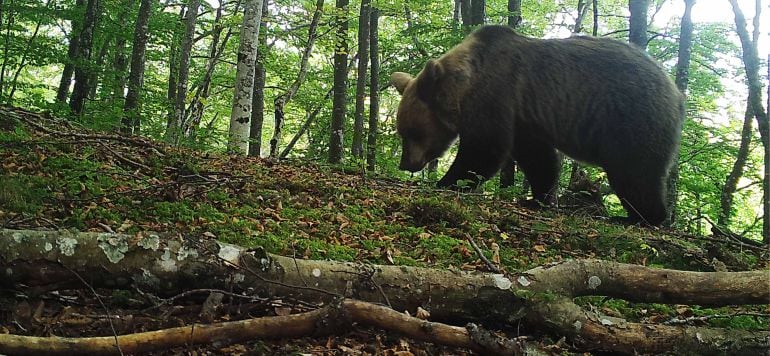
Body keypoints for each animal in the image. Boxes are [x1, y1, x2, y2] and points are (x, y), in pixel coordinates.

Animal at [392, 25, 680, 225]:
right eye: (402, 131)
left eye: (412, 132)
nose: (406, 163)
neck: (464, 87)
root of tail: (675, 90)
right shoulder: (524, 117)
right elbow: (538, 158)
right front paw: (539, 198)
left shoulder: (496, 94)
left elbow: (484, 150)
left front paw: (446, 182)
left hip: (631, 117)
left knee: (636, 172)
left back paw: (642, 217)